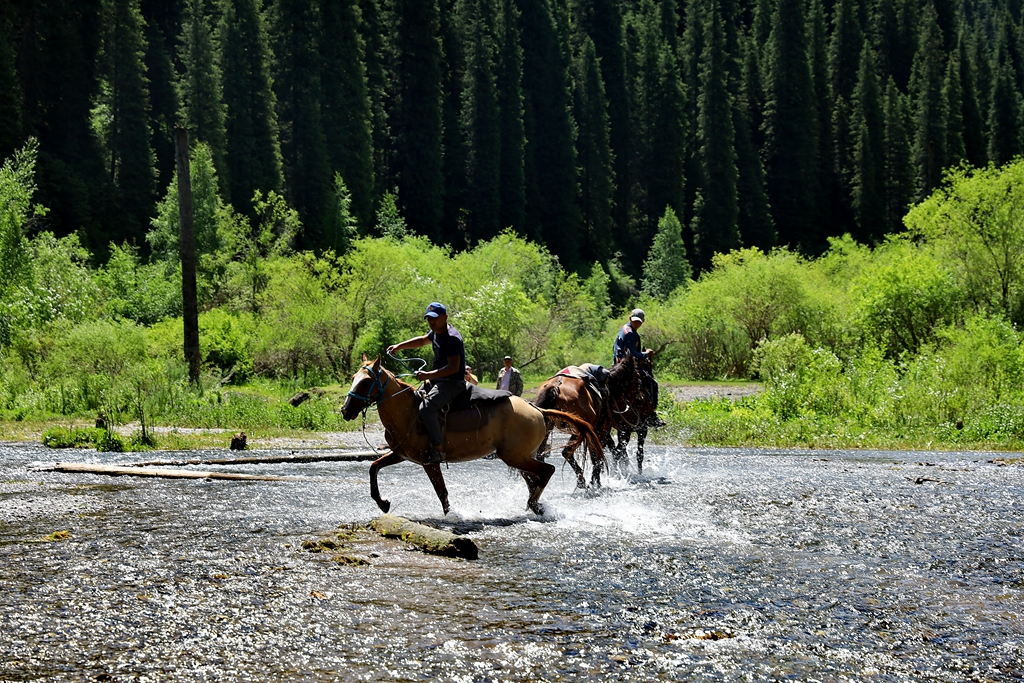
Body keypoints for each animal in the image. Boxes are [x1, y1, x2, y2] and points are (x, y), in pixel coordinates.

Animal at [339, 356, 602, 516]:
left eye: (366, 381)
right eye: (353, 378)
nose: (345, 410)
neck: (409, 412)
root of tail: (537, 410)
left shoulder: (429, 462)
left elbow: (441, 491)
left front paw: (451, 516)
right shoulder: (401, 454)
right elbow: (374, 467)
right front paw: (382, 503)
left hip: (515, 457)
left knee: (547, 471)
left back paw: (533, 505)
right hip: (519, 457)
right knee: (534, 478)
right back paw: (536, 506)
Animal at [532, 352, 651, 485]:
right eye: (638, 380)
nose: (640, 398)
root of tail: (556, 387)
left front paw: (596, 479)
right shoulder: (601, 430)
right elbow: (597, 455)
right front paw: (596, 481)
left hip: (550, 426)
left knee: (541, 454)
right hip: (580, 428)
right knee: (567, 451)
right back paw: (582, 480)